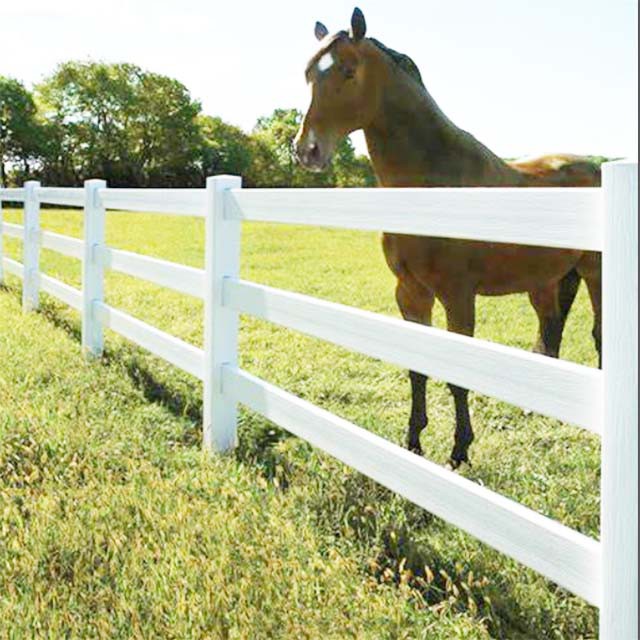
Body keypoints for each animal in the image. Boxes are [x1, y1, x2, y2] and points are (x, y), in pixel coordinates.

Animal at [294, 8, 601, 469]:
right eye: (309, 73)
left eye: (348, 71)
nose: (306, 150)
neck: (435, 185)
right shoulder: (410, 292)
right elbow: (417, 368)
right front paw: (413, 443)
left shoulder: (458, 295)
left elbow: (458, 373)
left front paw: (459, 451)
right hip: (545, 280)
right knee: (550, 329)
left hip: (595, 272)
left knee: (598, 335)